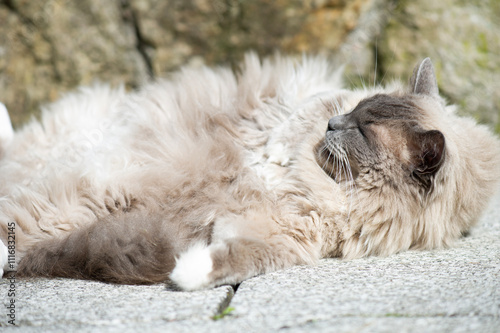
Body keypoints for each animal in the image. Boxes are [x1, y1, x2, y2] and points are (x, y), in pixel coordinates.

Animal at [0, 53, 500, 288]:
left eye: (362, 129)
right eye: (355, 111)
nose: (332, 125)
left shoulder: (288, 235)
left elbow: (238, 258)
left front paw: (186, 271)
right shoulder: (309, 105)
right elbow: (292, 122)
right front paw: (270, 154)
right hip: (86, 179)